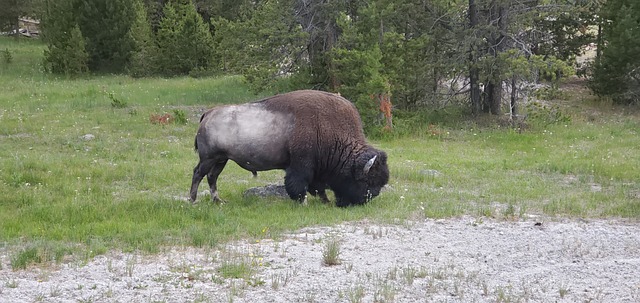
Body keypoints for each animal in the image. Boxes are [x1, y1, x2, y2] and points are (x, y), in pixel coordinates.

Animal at [189, 89, 390, 207]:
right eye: (366, 181)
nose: (368, 198)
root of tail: (208, 113)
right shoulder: (301, 165)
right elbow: (300, 185)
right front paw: (304, 203)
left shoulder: (315, 169)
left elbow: (318, 187)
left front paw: (324, 201)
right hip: (208, 158)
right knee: (198, 174)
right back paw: (192, 200)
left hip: (221, 159)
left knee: (212, 177)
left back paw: (218, 201)